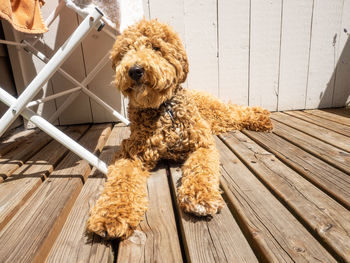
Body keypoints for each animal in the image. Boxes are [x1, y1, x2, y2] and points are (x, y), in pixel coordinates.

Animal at [86, 18, 272, 240]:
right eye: (125, 52)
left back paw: (261, 117)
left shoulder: (202, 145)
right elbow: (122, 180)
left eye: (156, 48)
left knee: (235, 112)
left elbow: (201, 167)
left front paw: (200, 198)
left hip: (218, 114)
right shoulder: (131, 152)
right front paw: (112, 214)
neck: (164, 109)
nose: (135, 70)